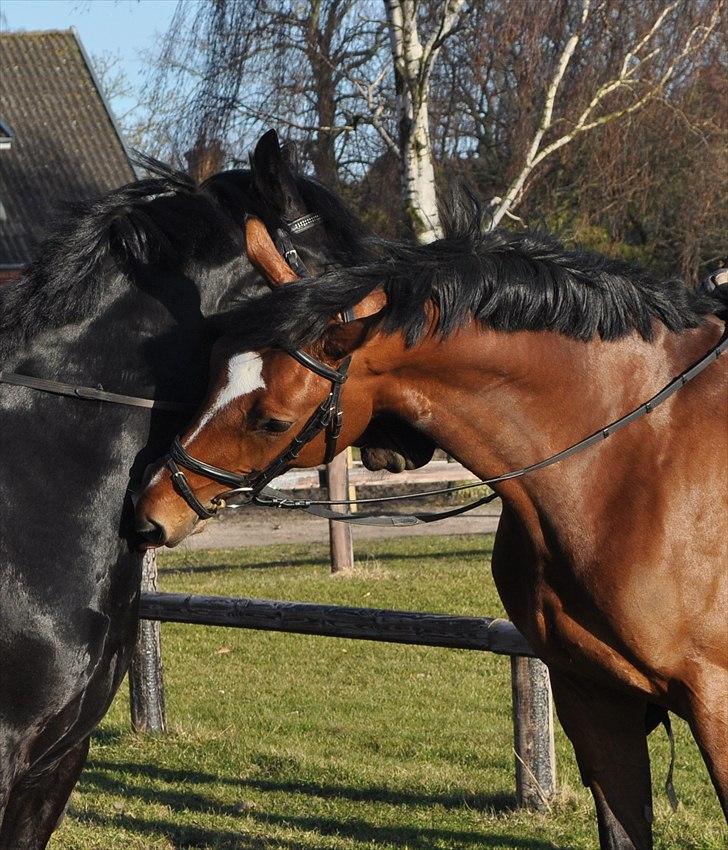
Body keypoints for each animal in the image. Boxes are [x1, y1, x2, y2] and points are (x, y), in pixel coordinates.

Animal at [138, 195, 728, 844]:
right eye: (213, 373)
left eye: (271, 420)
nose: (152, 513)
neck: (631, 455)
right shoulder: (594, 698)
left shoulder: (715, 703)